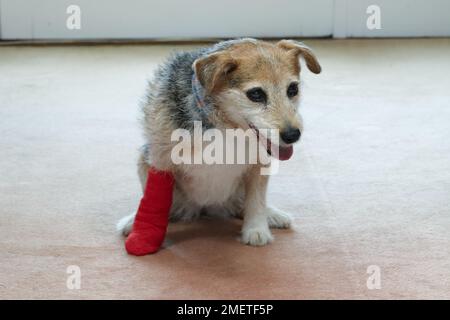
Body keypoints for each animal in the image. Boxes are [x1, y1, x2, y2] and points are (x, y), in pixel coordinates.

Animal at [116, 38, 320, 246]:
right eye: (256, 94)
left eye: (293, 89)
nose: (292, 135)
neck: (225, 125)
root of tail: (206, 207)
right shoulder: (161, 162)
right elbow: (154, 198)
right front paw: (146, 234)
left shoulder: (259, 165)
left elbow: (256, 199)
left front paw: (256, 228)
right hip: (144, 161)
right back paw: (134, 221)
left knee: (243, 204)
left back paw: (270, 214)